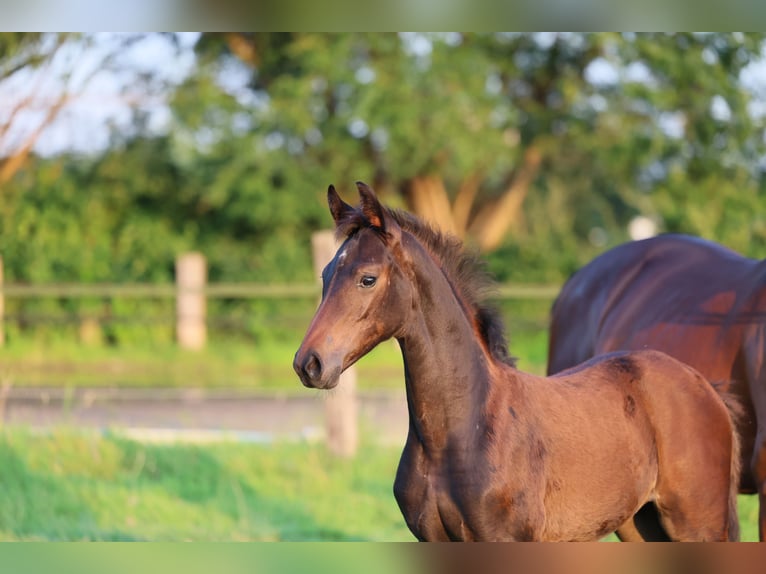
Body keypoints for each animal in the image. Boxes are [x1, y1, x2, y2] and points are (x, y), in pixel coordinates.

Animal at [296, 186, 744, 544]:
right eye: (324, 274)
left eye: (367, 278)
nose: (309, 363)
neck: (458, 432)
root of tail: (703, 386)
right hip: (639, 524)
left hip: (698, 522)